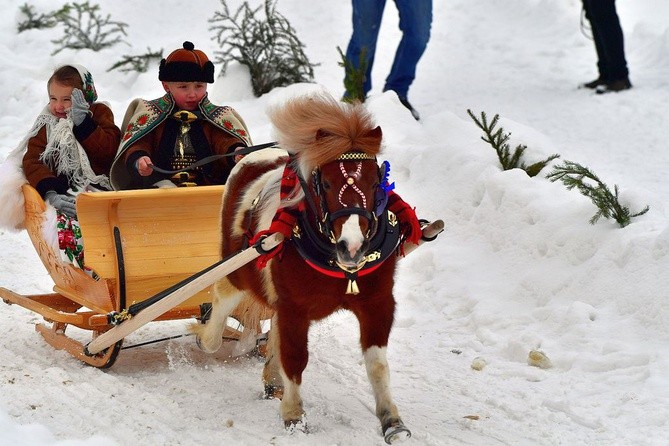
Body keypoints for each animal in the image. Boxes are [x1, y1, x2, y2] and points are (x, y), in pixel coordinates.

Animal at [193, 90, 410, 442]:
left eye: (377, 181)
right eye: (326, 183)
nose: (352, 247)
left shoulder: (377, 303)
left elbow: (377, 364)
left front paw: (392, 420)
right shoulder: (295, 307)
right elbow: (295, 358)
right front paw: (293, 415)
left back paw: (270, 378)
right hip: (238, 268)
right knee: (223, 298)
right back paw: (209, 337)